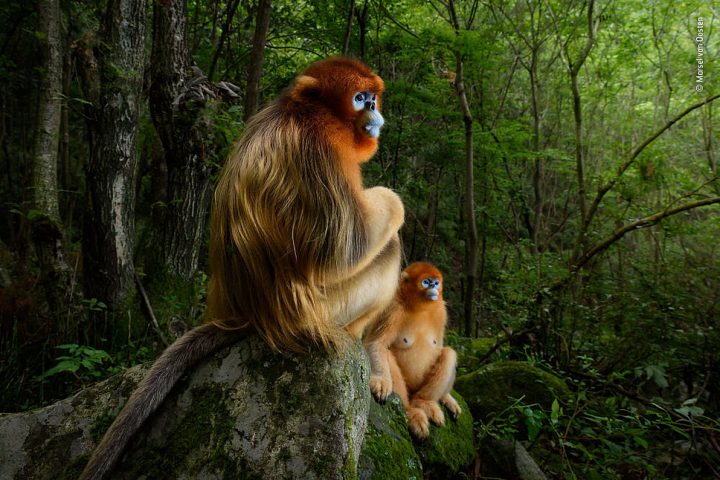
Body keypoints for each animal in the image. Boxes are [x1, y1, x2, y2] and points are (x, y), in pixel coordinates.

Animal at [80, 57, 404, 480]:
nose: (374, 110)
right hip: (327, 307)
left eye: (372, 97)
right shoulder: (320, 147)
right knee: (388, 247)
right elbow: (344, 249)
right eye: (359, 98)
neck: (299, 112)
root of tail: (247, 316)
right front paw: (391, 199)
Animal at [367, 262, 461, 439]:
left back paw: (424, 402)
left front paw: (447, 397)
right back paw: (411, 412)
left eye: (436, 282)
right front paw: (381, 381)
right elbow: (376, 343)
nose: (433, 287)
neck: (420, 308)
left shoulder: (441, 311)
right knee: (387, 354)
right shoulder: (393, 309)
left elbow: (439, 347)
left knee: (449, 353)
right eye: (426, 282)